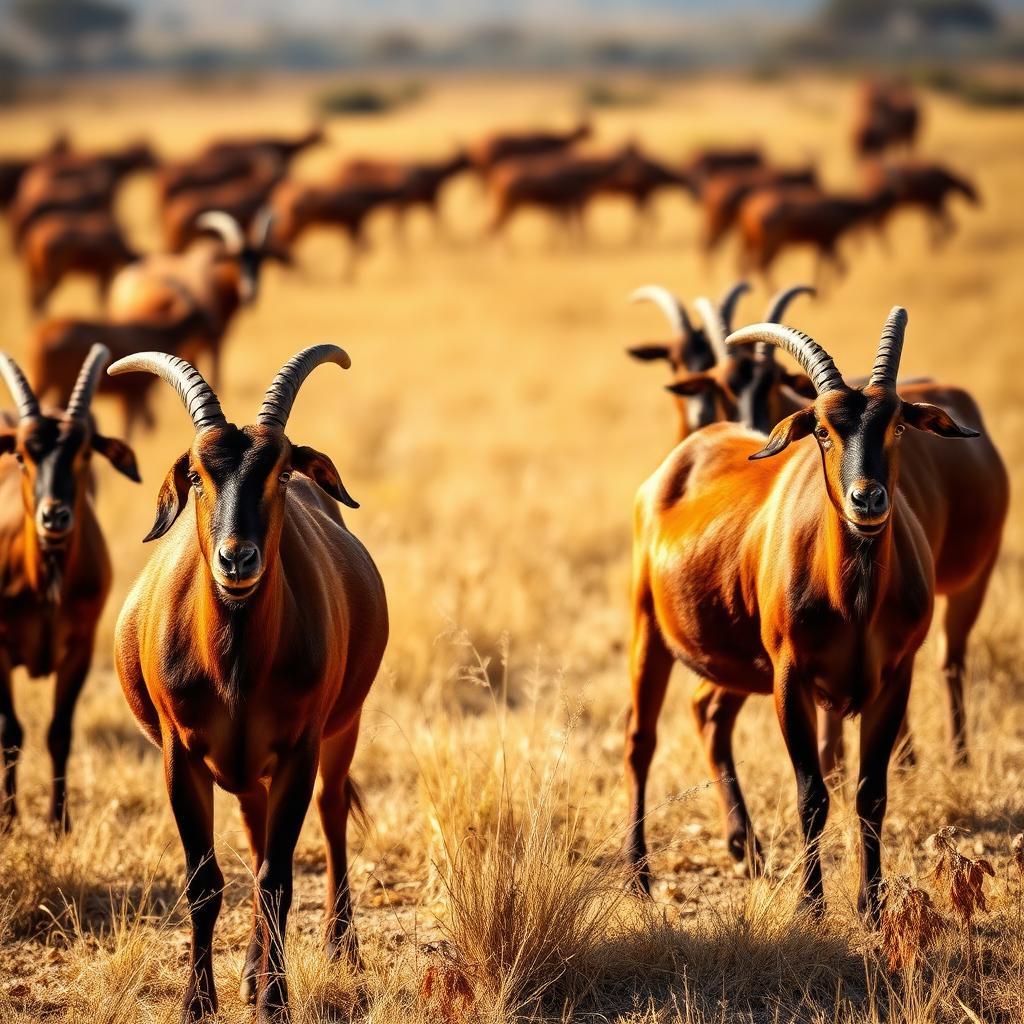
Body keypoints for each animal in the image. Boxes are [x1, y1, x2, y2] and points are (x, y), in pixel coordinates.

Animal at [0, 345, 139, 831]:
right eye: (23, 454)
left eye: (82, 452)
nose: (54, 516)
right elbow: (11, 732)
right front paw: (9, 820)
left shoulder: (79, 648)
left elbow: (59, 732)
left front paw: (59, 822)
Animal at [109, 346, 388, 1022]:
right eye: (197, 476)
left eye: (281, 472)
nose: (238, 560)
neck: (233, 665)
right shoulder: (182, 757)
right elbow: (205, 882)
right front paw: (198, 1002)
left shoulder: (298, 751)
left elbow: (278, 879)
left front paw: (275, 1003)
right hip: (244, 774)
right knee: (257, 837)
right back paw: (250, 972)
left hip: (341, 731)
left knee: (331, 815)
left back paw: (339, 951)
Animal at [624, 308, 987, 920]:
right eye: (822, 428)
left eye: (897, 425)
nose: (867, 499)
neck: (854, 600)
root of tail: (682, 459)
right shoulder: (790, 678)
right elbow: (812, 793)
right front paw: (810, 906)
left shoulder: (894, 679)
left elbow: (870, 791)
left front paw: (870, 904)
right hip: (649, 631)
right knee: (639, 740)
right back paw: (638, 876)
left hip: (740, 666)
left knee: (708, 712)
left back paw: (745, 849)